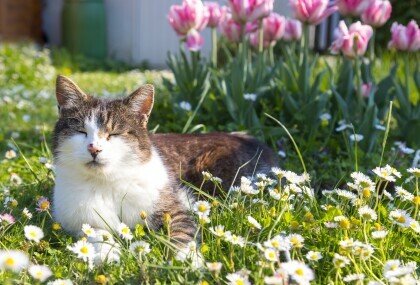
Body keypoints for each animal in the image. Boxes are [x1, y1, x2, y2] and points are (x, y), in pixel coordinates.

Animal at [50, 73, 278, 253]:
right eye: (81, 131)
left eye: (114, 134)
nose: (94, 149)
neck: (107, 182)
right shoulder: (81, 221)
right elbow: (97, 235)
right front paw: (108, 254)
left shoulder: (173, 210)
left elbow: (182, 236)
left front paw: (188, 263)